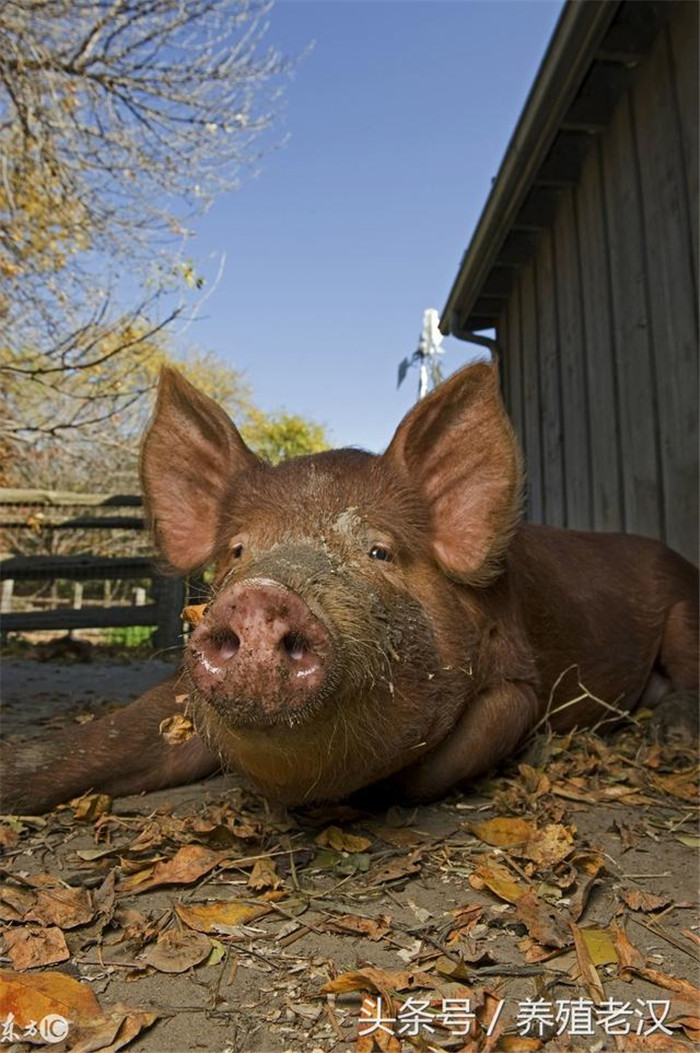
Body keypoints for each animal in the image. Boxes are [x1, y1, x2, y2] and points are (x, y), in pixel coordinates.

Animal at [0, 362, 694, 812]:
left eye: (379, 551)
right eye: (236, 552)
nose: (261, 595)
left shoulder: (521, 681)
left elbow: (430, 769)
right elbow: (110, 738)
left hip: (688, 610)